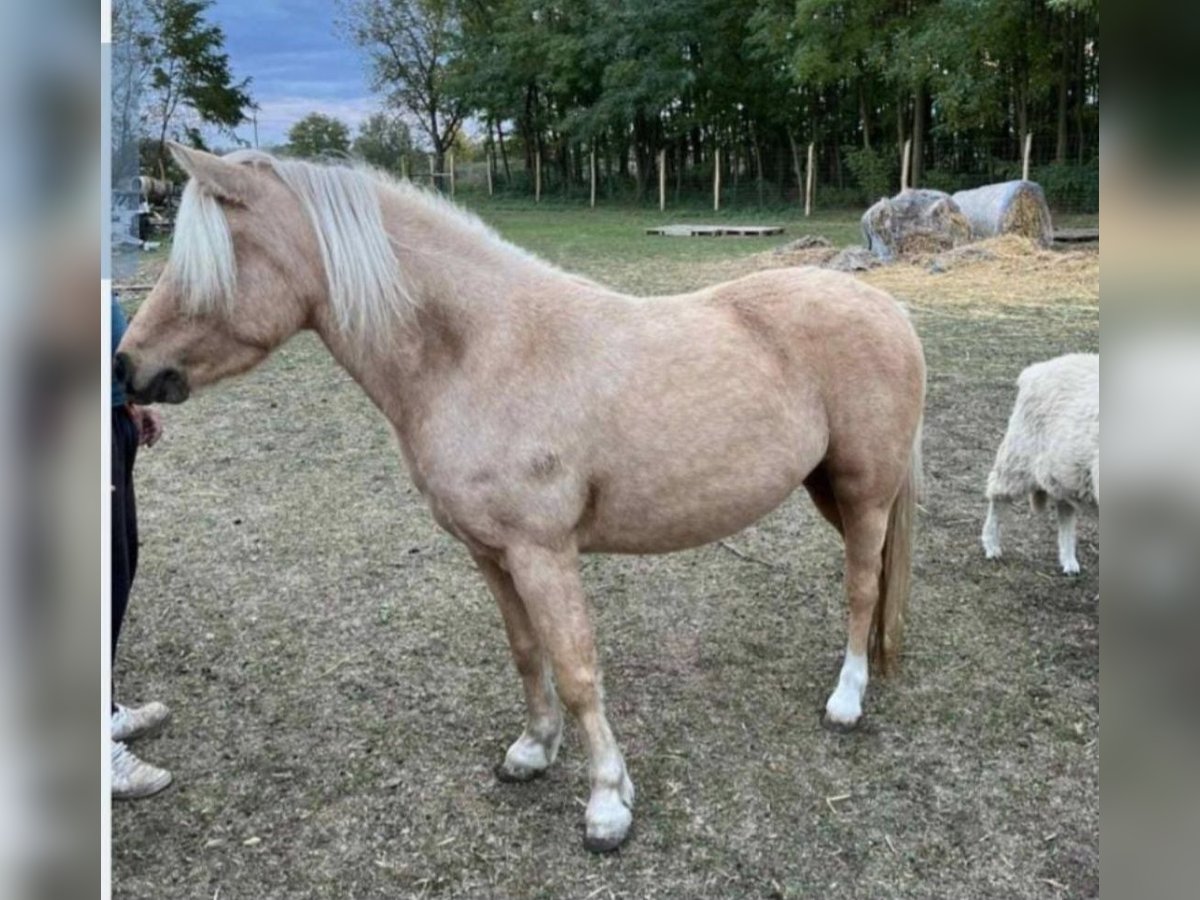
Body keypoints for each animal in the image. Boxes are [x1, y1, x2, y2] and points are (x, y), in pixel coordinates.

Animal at [116, 143, 926, 853]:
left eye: (205, 262)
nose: (127, 367)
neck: (477, 351)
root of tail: (888, 309)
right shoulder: (491, 553)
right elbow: (527, 652)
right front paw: (534, 752)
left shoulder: (544, 553)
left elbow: (575, 669)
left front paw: (607, 805)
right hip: (827, 490)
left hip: (862, 492)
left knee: (860, 589)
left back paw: (846, 699)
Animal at [981, 353, 1099, 574]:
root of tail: (1035, 369)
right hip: (1018, 457)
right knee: (997, 497)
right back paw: (991, 545)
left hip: (1063, 473)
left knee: (1065, 513)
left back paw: (1069, 561)